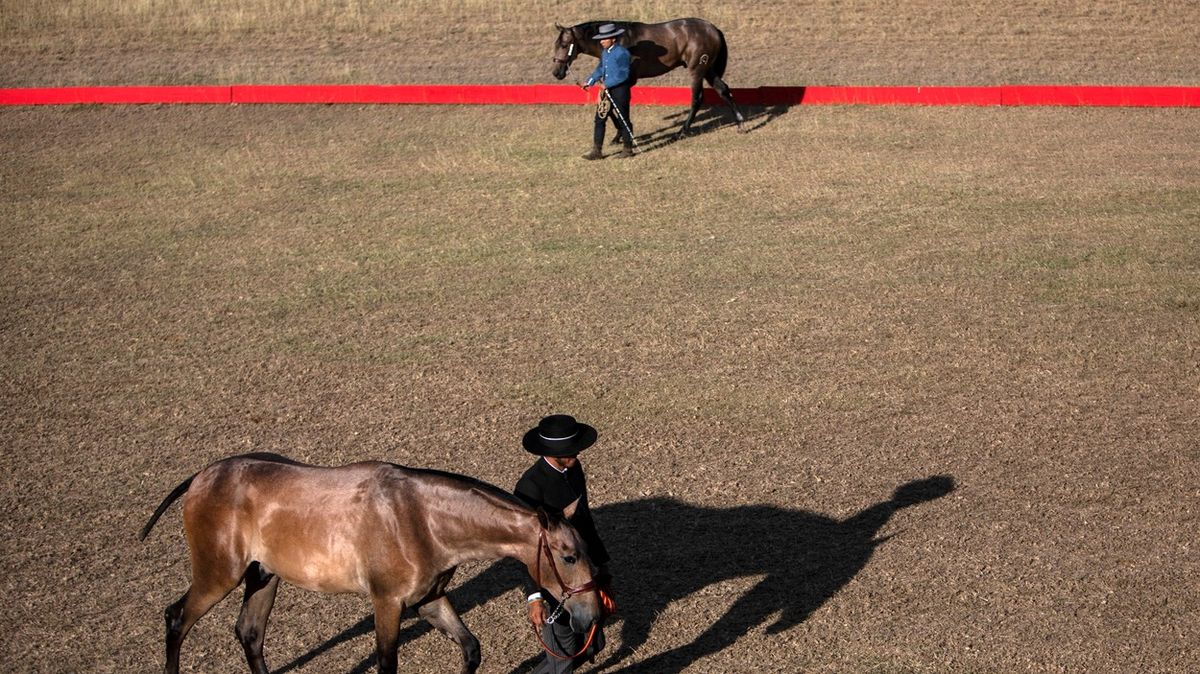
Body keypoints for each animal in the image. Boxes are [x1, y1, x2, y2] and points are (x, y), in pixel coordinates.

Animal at [139, 450, 600, 671]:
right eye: (569, 556)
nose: (592, 615)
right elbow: (386, 664)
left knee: (250, 634)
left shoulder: (429, 600)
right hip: (219, 574)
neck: (422, 518)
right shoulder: (387, 603)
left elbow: (470, 649)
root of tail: (202, 476)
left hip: (263, 577)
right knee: (176, 619)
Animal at [554, 18, 744, 137]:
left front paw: (621, 133)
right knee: (723, 90)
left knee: (697, 99)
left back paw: (681, 132)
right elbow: (611, 105)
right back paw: (740, 123)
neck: (618, 41)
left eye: (564, 45)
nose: (557, 73)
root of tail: (713, 29)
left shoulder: (626, 81)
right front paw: (620, 134)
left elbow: (616, 106)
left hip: (697, 70)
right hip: (709, 70)